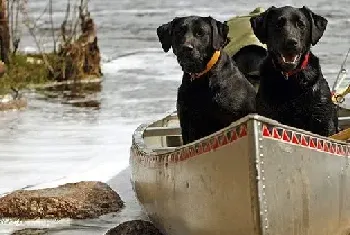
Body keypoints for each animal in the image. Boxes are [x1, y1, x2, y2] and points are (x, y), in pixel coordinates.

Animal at [250, 6, 338, 136]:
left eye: (301, 24)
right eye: (278, 24)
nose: (291, 42)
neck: (290, 79)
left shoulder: (323, 120)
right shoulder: (268, 112)